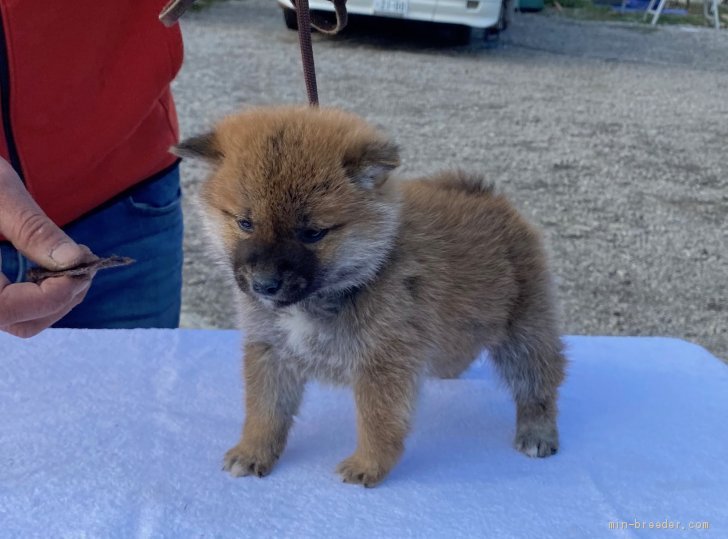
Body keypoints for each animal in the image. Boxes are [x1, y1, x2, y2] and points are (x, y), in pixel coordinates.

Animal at [173, 106, 564, 490]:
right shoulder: (270, 351)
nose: (264, 284)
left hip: (524, 331)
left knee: (539, 383)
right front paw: (253, 452)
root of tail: (489, 198)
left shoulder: (383, 361)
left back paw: (537, 432)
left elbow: (377, 421)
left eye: (312, 233)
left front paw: (368, 466)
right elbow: (264, 411)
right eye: (245, 223)